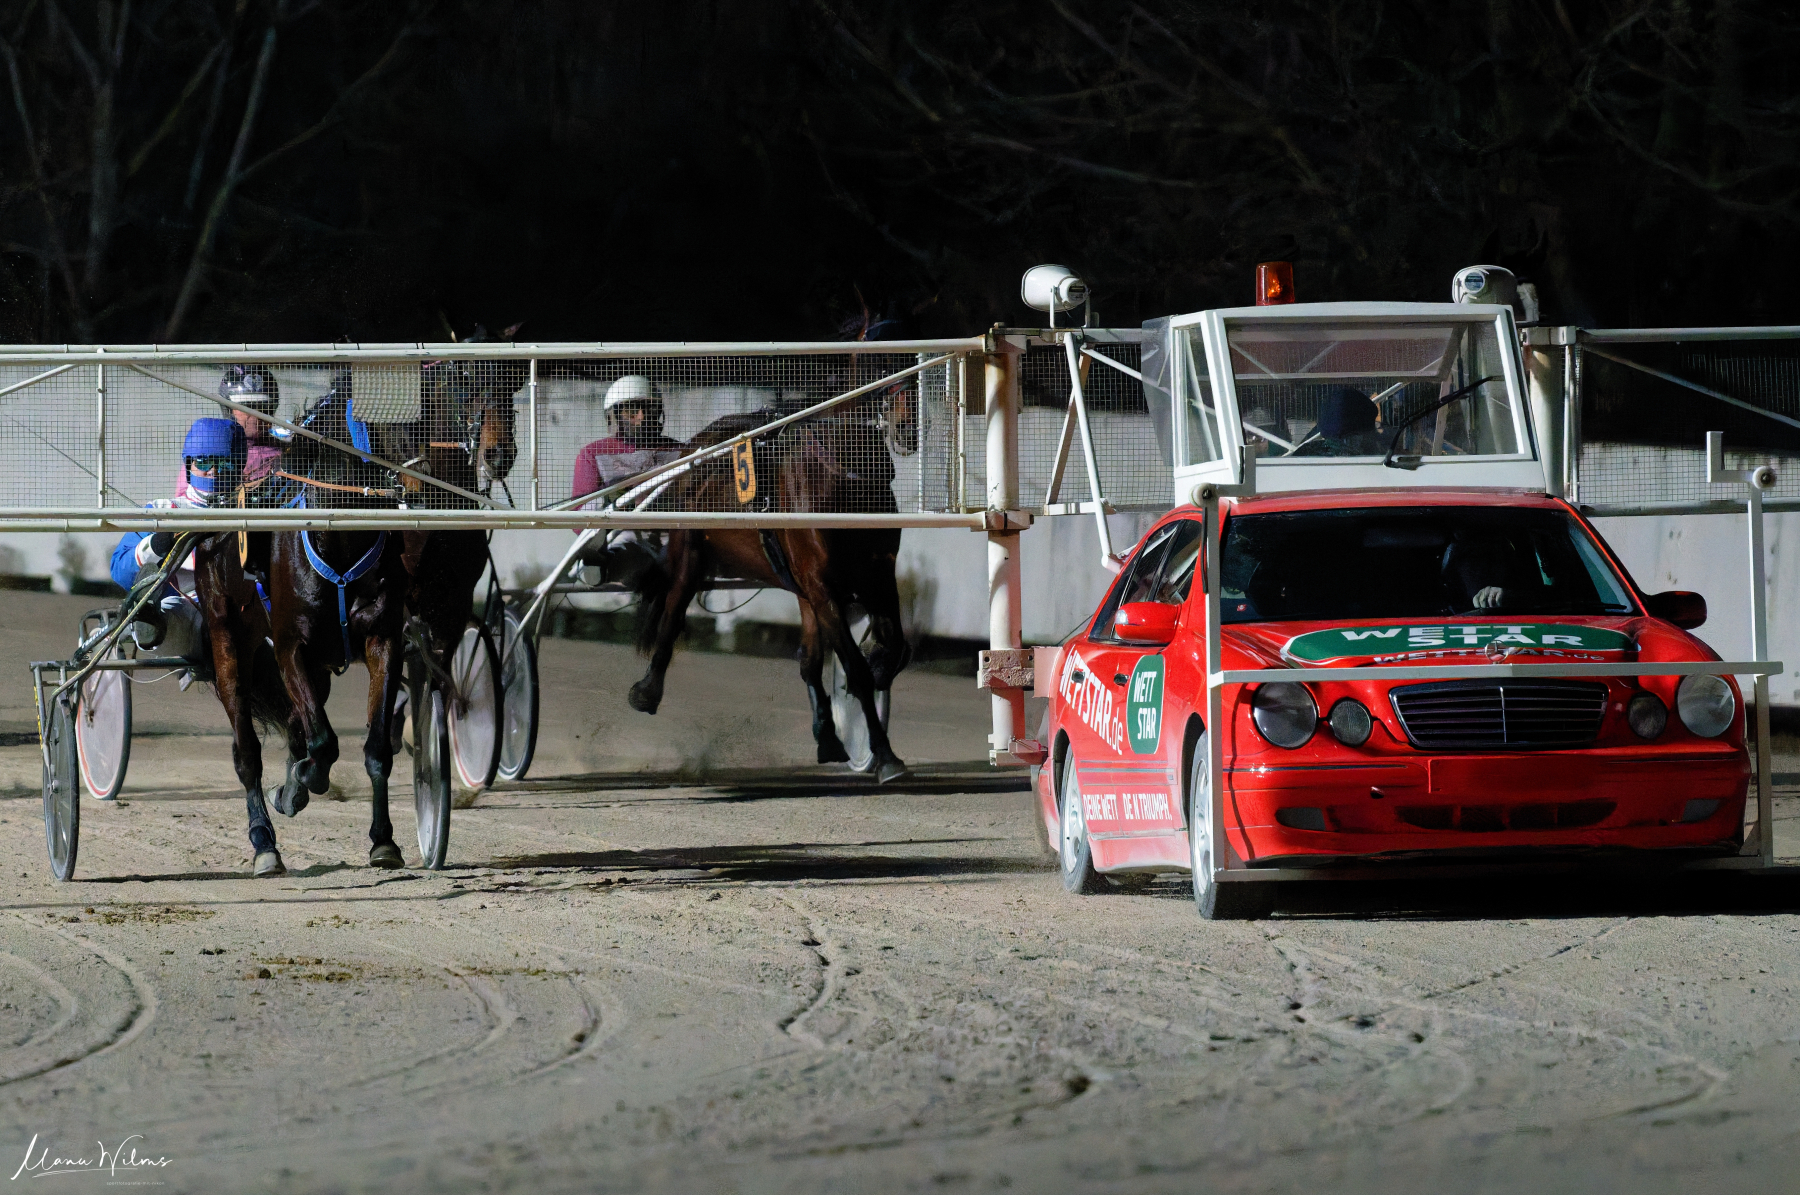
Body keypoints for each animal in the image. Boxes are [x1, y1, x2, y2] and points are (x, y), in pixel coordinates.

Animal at [626, 366, 918, 783]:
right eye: (880, 371)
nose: (907, 427)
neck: (846, 483)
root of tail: (696, 445)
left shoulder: (877, 576)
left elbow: (895, 650)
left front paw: (877, 668)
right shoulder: (822, 584)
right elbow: (856, 669)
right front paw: (884, 754)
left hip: (800, 586)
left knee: (809, 658)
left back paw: (828, 736)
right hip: (690, 551)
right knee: (672, 612)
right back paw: (647, 690)